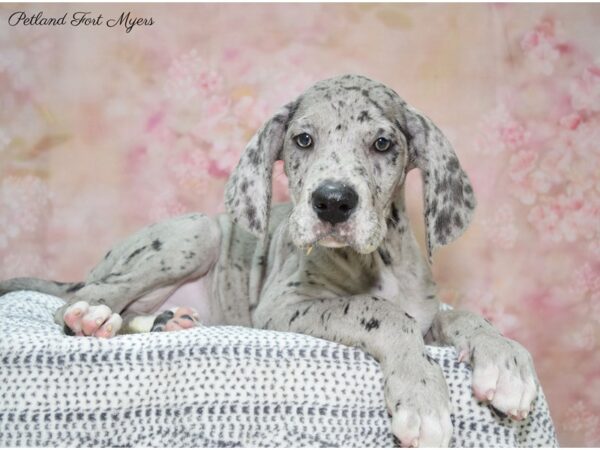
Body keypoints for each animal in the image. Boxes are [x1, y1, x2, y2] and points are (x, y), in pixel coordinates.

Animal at [0, 75, 536, 448]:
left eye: (383, 143)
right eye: (302, 140)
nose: (333, 202)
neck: (377, 262)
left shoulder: (427, 313)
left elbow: (464, 316)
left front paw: (506, 361)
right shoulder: (285, 306)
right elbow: (381, 313)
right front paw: (423, 397)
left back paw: (170, 322)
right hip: (196, 234)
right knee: (89, 295)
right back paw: (92, 317)